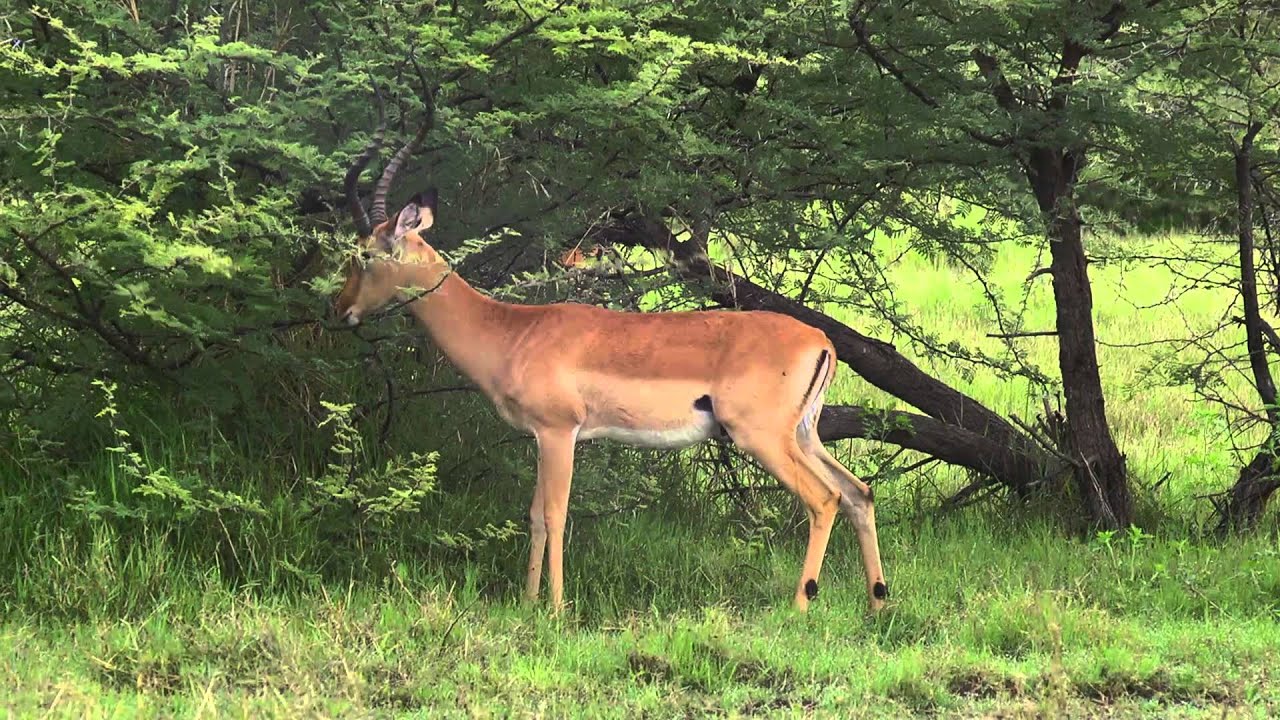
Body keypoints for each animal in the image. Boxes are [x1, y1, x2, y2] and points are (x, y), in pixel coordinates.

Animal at [332, 125, 888, 614]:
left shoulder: (559, 432)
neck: (513, 332)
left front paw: (556, 609)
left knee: (823, 499)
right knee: (858, 492)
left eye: (364, 254)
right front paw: (528, 603)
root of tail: (820, 340)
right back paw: (876, 604)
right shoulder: (541, 437)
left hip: (762, 437)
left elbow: (555, 514)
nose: (342, 310)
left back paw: (800, 605)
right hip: (804, 435)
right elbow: (534, 516)